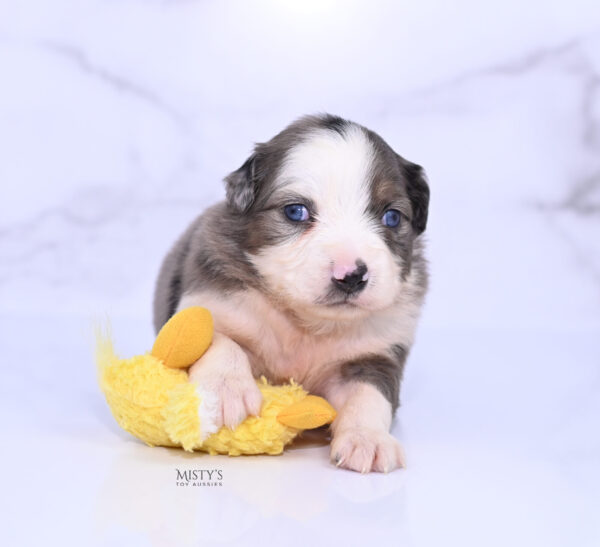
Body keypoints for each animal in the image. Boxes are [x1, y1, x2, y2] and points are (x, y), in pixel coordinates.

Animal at [152, 113, 428, 474]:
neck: (306, 324)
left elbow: (369, 396)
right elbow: (217, 339)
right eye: (295, 211)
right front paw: (226, 390)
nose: (352, 276)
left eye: (392, 217)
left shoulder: (374, 353)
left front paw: (368, 439)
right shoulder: (210, 299)